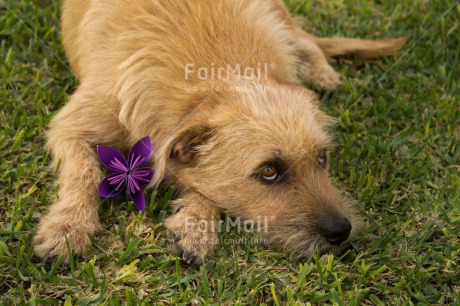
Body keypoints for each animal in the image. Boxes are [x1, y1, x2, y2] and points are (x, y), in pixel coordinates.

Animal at [33, 0, 406, 262]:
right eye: (269, 170)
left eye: (322, 158)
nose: (341, 231)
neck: (213, 76)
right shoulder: (70, 127)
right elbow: (83, 173)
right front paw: (67, 227)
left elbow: (203, 184)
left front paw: (196, 224)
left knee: (305, 40)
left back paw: (321, 72)